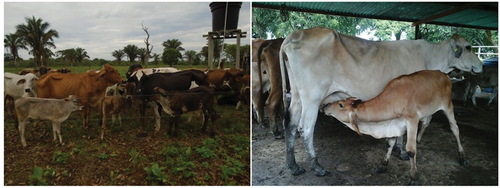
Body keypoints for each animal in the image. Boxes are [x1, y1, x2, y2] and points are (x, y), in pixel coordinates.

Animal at [322, 70, 466, 184]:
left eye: (340, 105)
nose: (325, 106)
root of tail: (443, 74)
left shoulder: (412, 120)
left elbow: (411, 150)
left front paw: (414, 177)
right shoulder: (393, 124)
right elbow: (390, 143)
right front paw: (383, 165)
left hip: (448, 106)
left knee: (455, 129)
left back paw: (462, 156)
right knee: (426, 122)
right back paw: (419, 138)